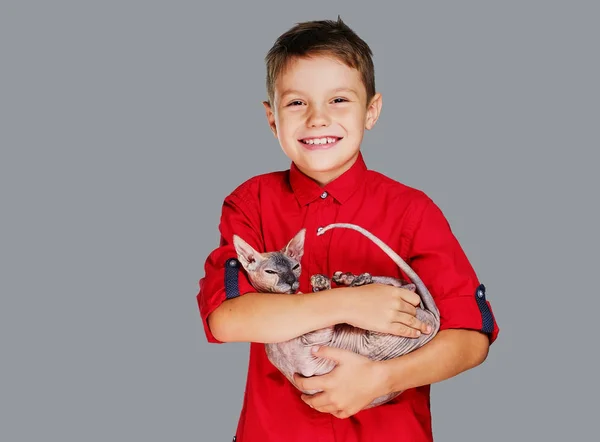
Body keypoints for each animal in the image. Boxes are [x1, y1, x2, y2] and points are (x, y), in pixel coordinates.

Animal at [231, 223, 440, 410]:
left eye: (295, 267)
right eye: (271, 272)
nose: (291, 282)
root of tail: (433, 319)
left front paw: (321, 283)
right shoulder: (314, 348)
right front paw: (322, 285)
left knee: (401, 284)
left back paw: (350, 278)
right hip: (379, 338)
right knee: (406, 287)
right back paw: (354, 282)